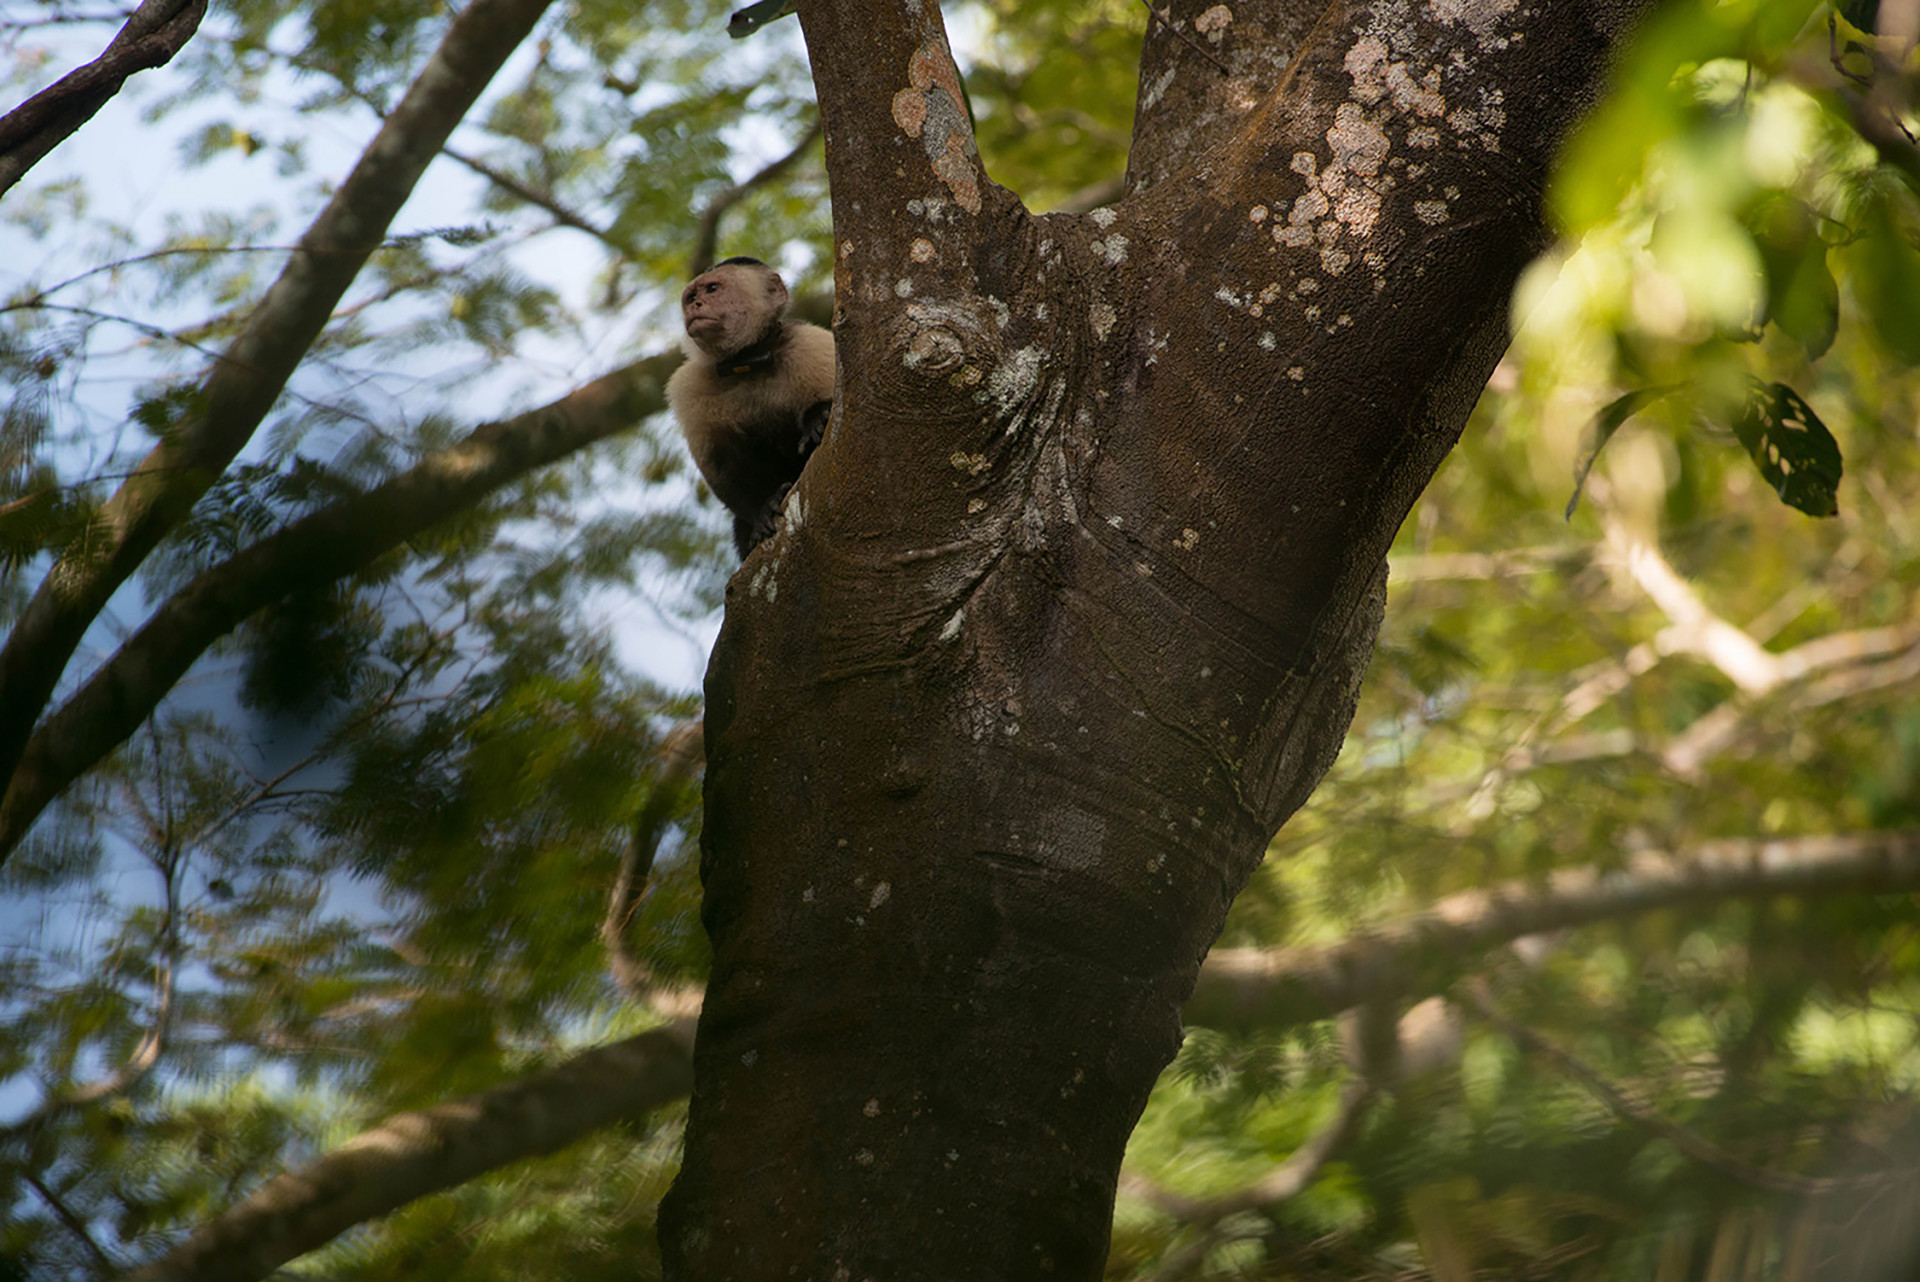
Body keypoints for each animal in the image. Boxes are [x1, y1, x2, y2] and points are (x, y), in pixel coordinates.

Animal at [668, 257, 833, 556]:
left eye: (712, 289)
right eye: (692, 297)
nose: (696, 305)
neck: (746, 362)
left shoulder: (808, 343)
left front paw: (818, 417)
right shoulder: (688, 385)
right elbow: (719, 465)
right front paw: (762, 510)